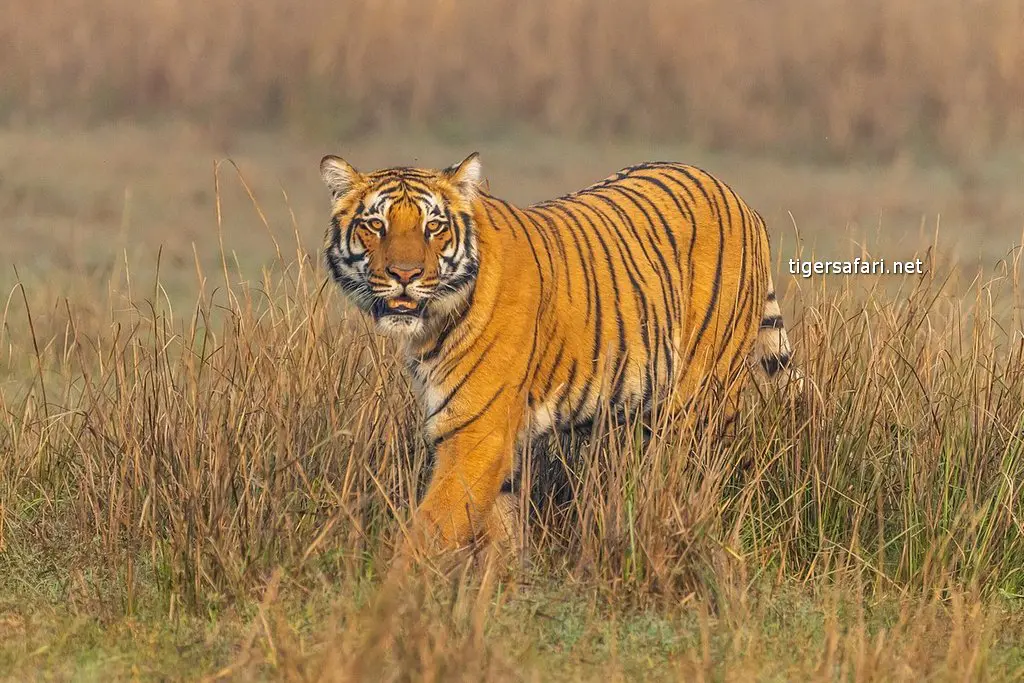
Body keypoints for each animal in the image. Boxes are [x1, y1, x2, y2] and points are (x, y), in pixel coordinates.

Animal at [319, 153, 798, 561]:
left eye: (433, 227)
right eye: (375, 225)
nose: (405, 275)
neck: (431, 326)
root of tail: (739, 199)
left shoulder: (476, 433)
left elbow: (430, 529)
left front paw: (393, 596)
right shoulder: (496, 441)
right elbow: (502, 528)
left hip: (701, 400)